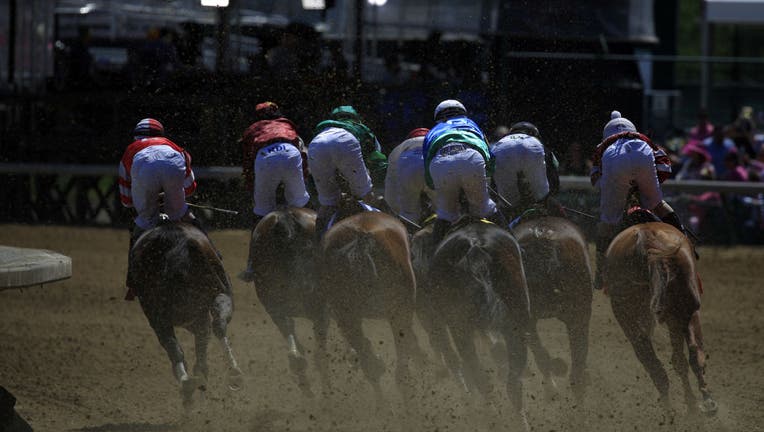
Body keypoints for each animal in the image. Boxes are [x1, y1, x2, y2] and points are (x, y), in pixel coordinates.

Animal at [131, 221, 243, 406]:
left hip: (169, 316)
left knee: (174, 347)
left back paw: (186, 384)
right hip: (221, 294)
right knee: (218, 325)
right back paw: (233, 372)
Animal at [604, 223, 716, 416]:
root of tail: (646, 237)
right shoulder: (679, 317)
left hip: (629, 315)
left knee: (654, 363)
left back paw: (671, 411)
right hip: (681, 311)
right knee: (689, 355)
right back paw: (701, 403)